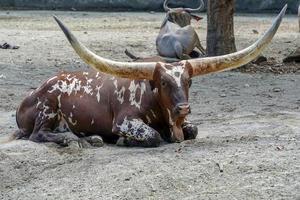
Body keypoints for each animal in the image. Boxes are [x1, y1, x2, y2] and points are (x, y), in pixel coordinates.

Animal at [12, 5, 288, 148]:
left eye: (188, 81)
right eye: (163, 82)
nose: (183, 108)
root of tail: (30, 94)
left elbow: (194, 129)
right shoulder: (124, 121)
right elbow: (153, 136)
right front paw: (125, 141)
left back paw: (90, 138)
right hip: (47, 108)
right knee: (37, 134)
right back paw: (71, 139)